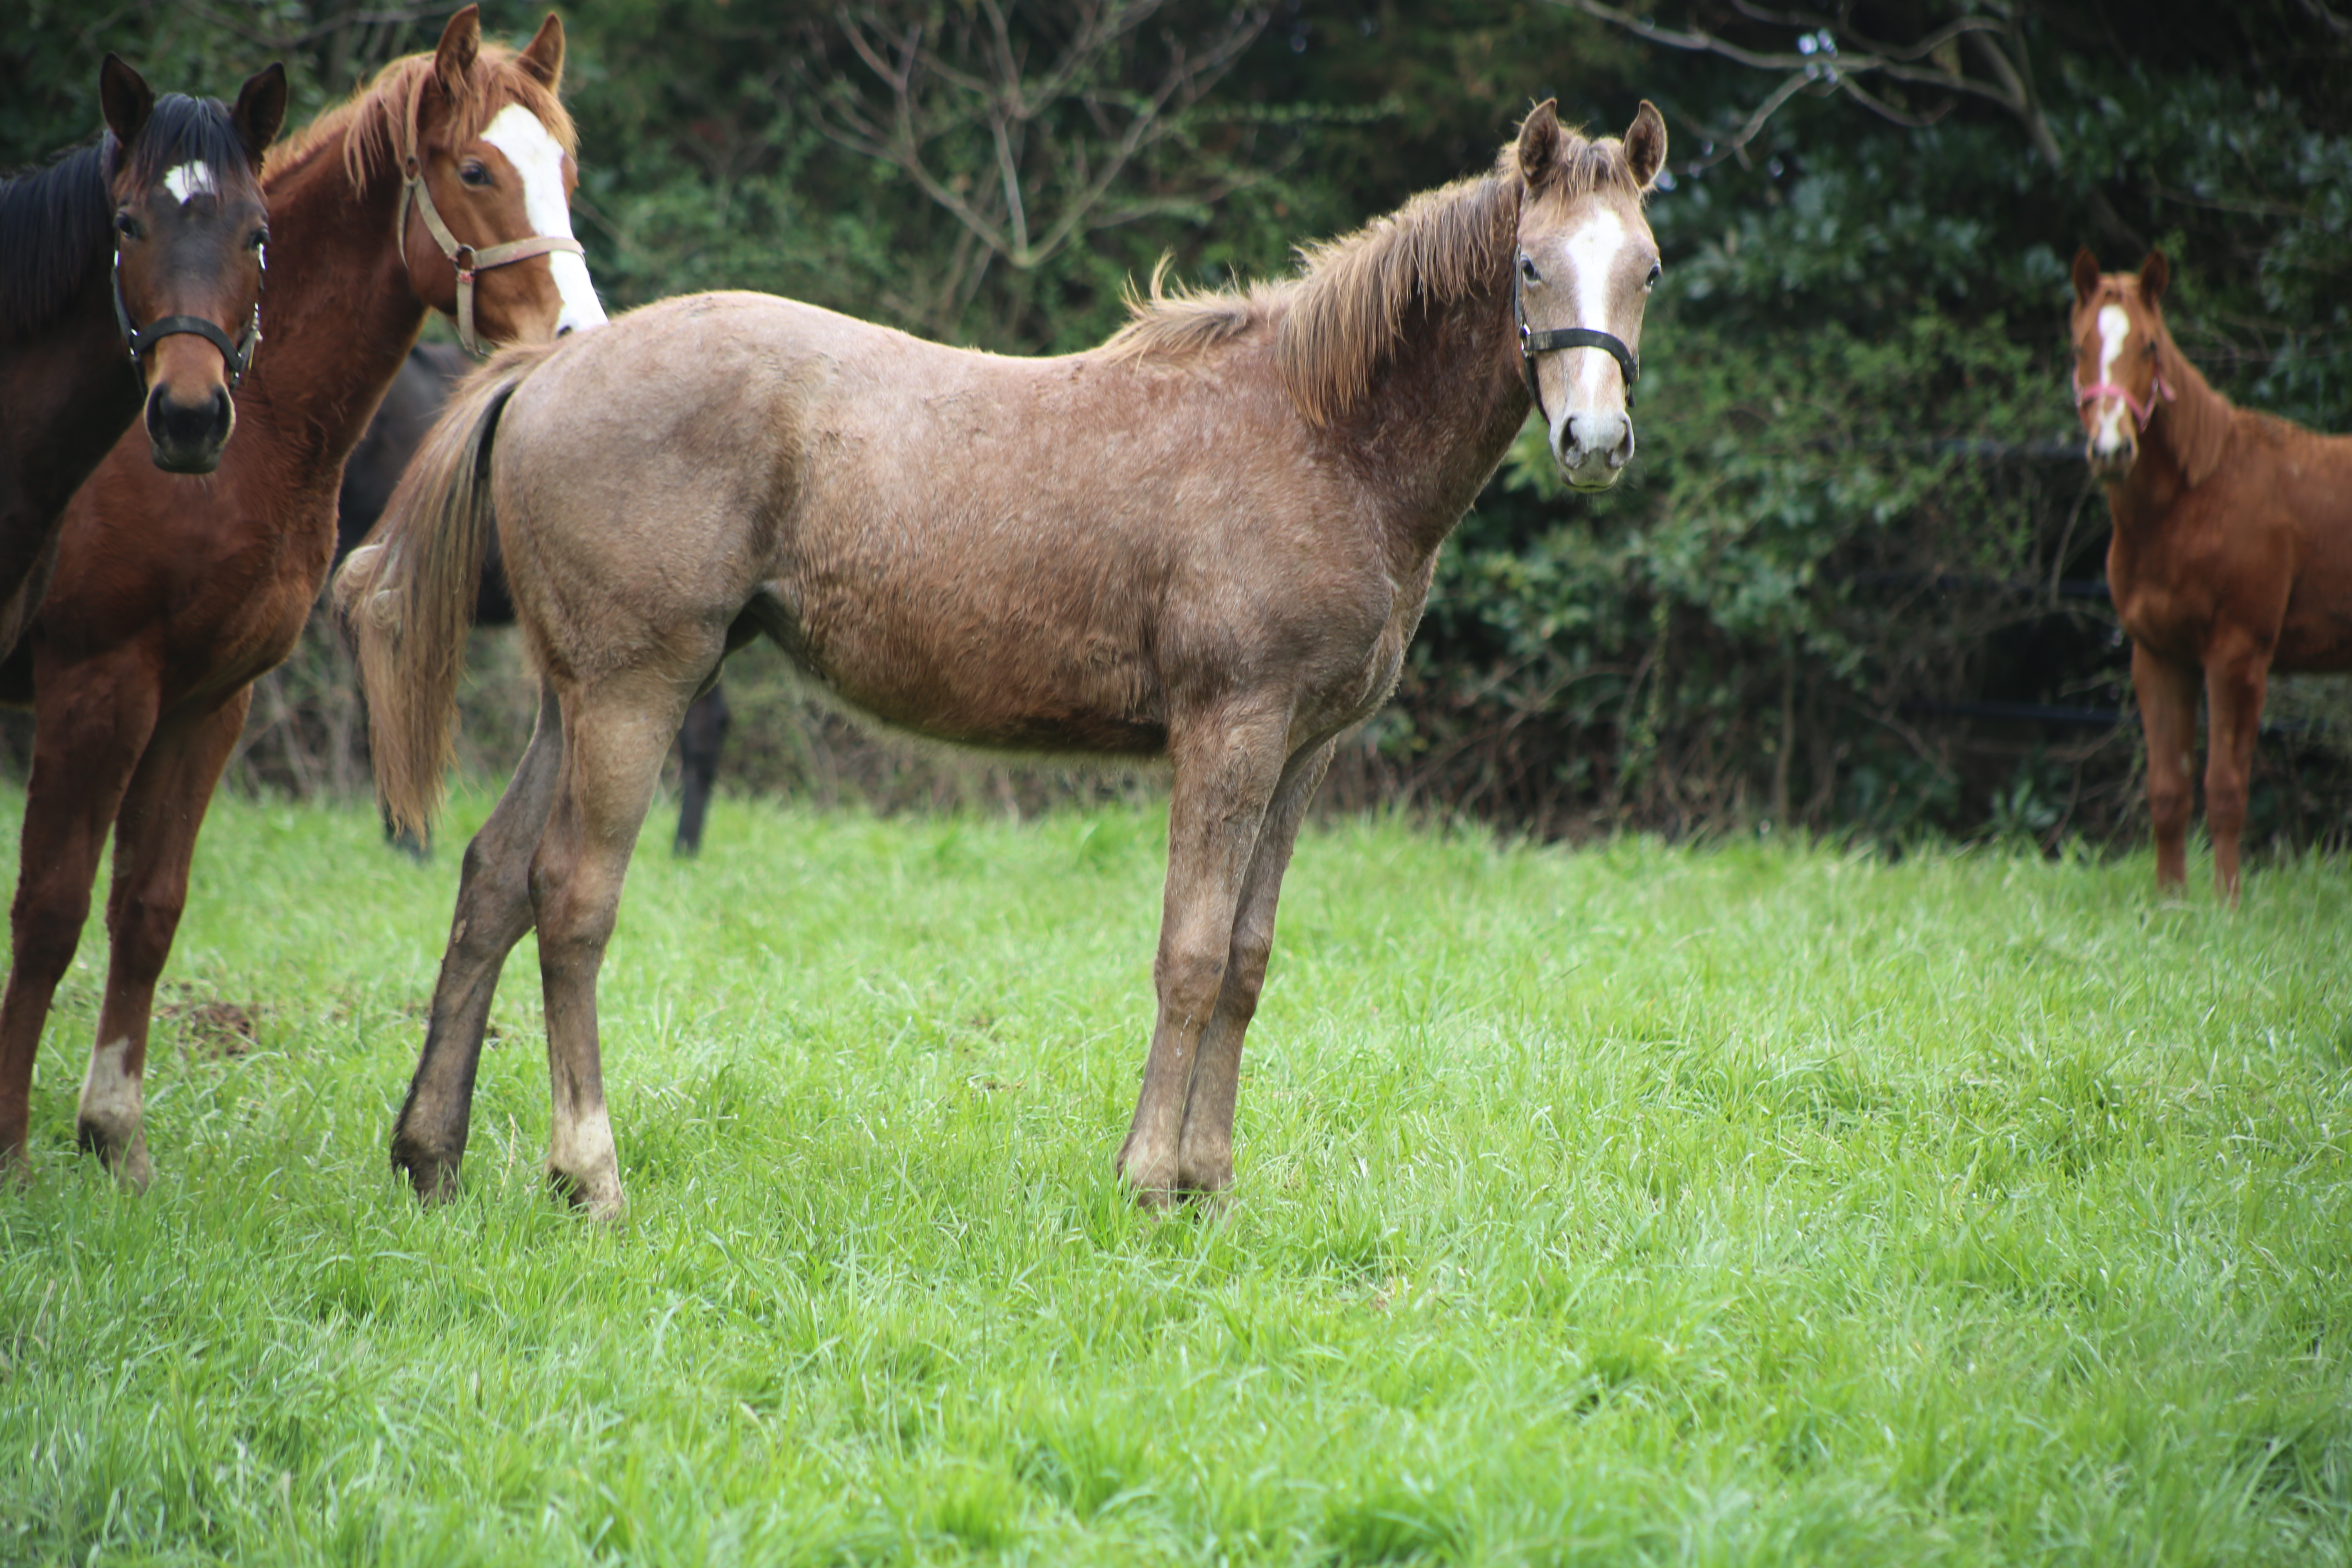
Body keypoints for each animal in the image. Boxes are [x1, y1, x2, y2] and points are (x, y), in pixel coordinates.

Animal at [2069, 250, 2352, 902]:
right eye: (2079, 346)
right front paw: (2171, 902)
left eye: (2149, 346)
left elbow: (2225, 788)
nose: (2112, 448)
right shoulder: (2159, 655)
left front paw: (2227, 904)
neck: (2195, 500)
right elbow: (2168, 790)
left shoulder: (2237, 654)